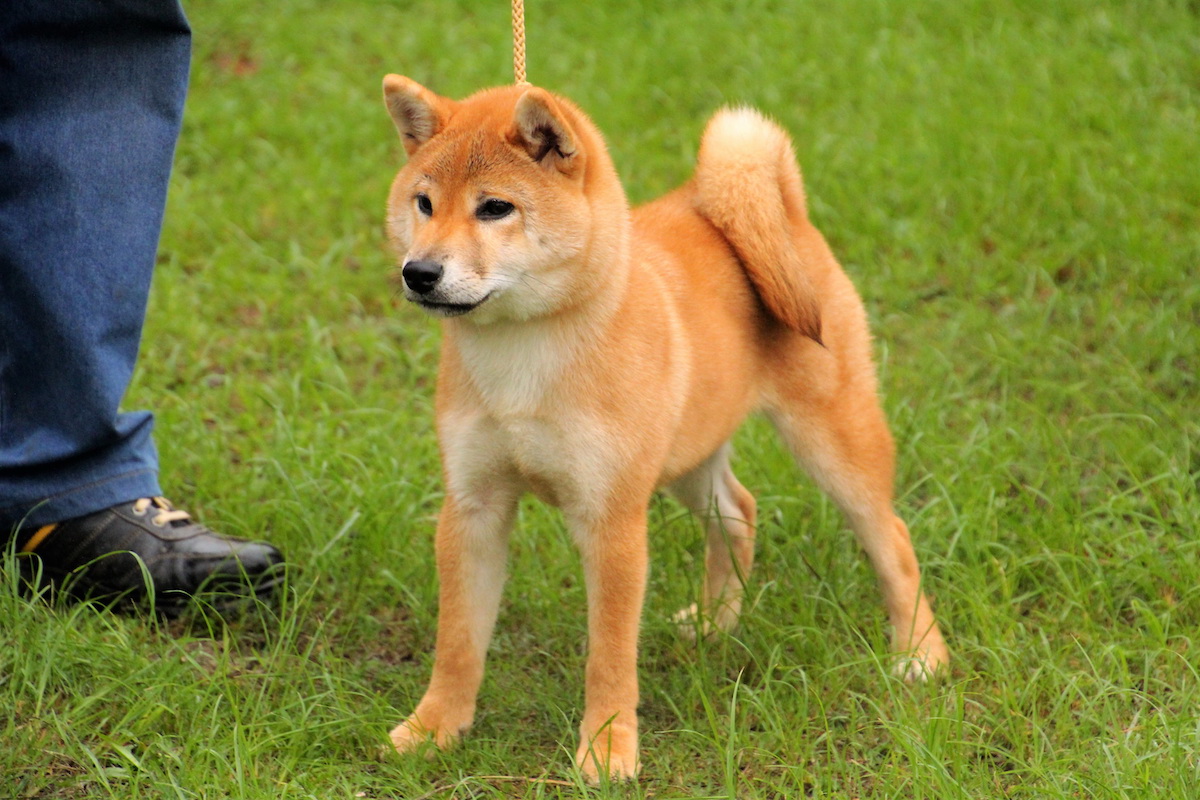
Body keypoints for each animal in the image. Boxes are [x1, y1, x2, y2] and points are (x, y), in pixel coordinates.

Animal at [381, 76, 945, 782]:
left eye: (495, 208)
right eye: (424, 203)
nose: (419, 272)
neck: (522, 358)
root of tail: (779, 213)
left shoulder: (613, 519)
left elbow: (609, 655)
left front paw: (605, 749)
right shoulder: (473, 507)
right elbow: (457, 643)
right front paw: (435, 729)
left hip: (832, 442)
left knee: (892, 539)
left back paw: (921, 652)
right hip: (687, 456)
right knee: (738, 513)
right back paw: (715, 622)